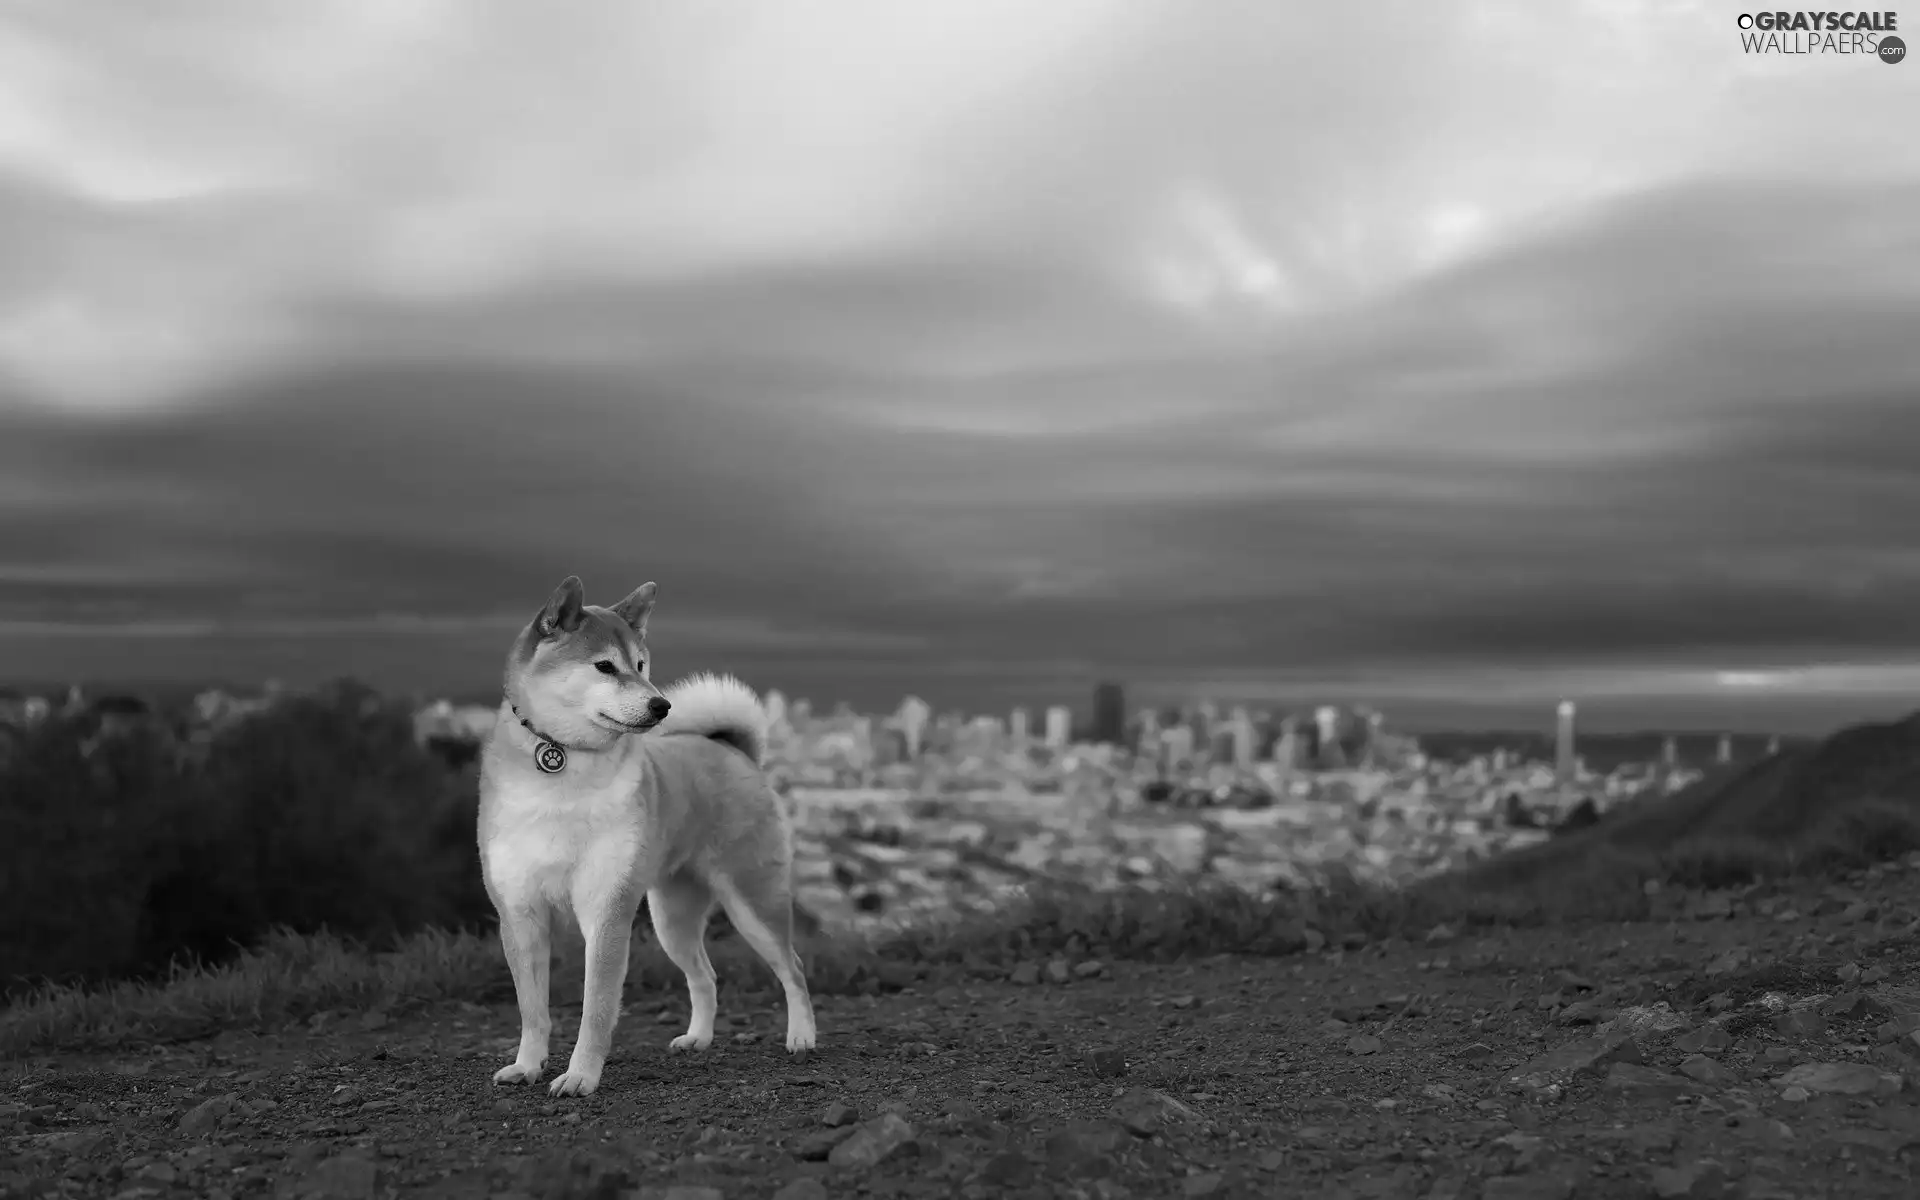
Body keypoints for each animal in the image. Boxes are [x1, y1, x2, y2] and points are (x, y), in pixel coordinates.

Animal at [480, 579, 817, 1098]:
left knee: (793, 968)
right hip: (672, 919)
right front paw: (527, 1066)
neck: (564, 762)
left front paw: (580, 1076)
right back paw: (698, 1038)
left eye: (641, 665)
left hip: (753, 903)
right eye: (605, 666)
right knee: (705, 977)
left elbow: (596, 1009)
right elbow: (532, 1011)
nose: (662, 705)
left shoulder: (605, 911)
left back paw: (801, 1036)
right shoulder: (520, 914)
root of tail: (732, 751)